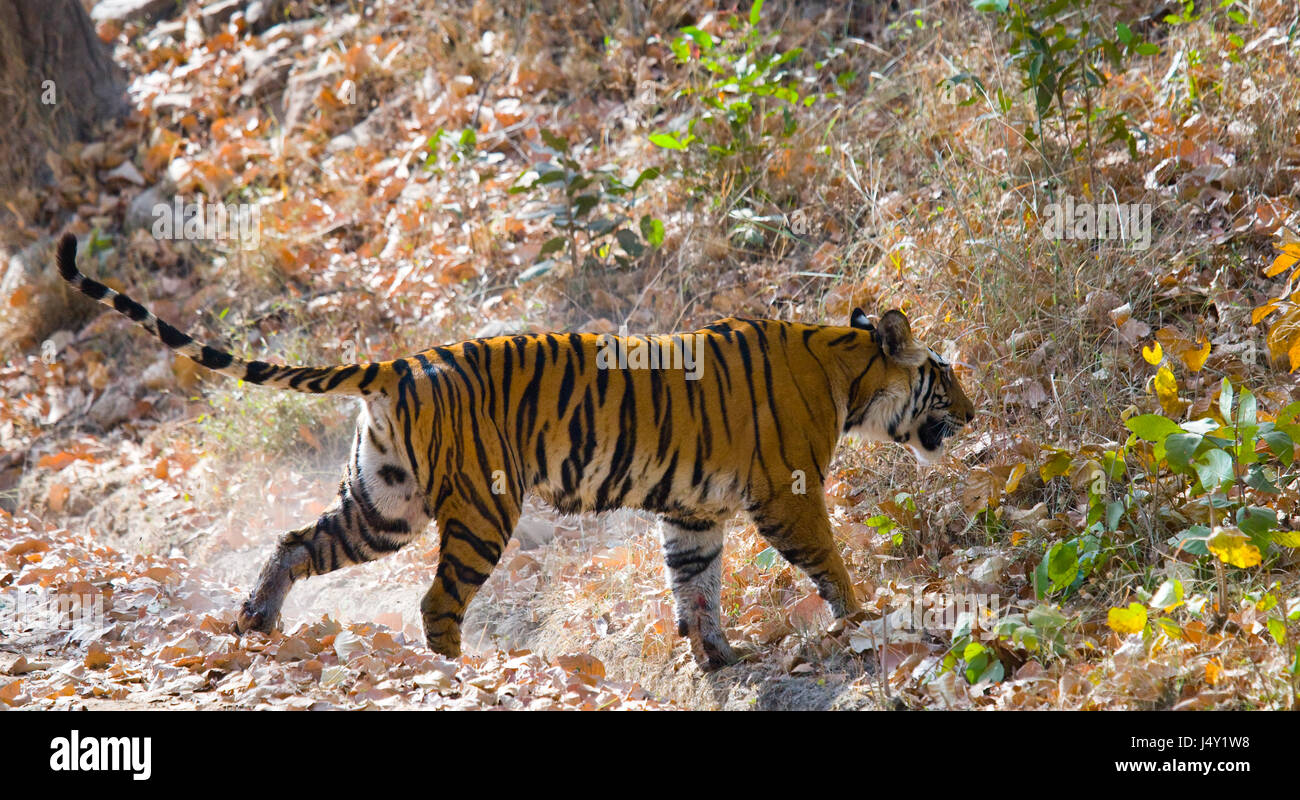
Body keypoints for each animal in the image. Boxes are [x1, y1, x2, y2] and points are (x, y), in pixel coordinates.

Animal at [58, 231, 977, 671]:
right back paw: (456, 677)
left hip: (384, 503)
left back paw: (255, 619)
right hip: (481, 507)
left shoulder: (692, 511)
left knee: (294, 541)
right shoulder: (787, 492)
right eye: (944, 379)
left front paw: (716, 657)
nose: (972, 414)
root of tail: (403, 360)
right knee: (436, 602)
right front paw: (863, 620)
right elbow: (828, 560)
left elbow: (698, 586)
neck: (847, 374)